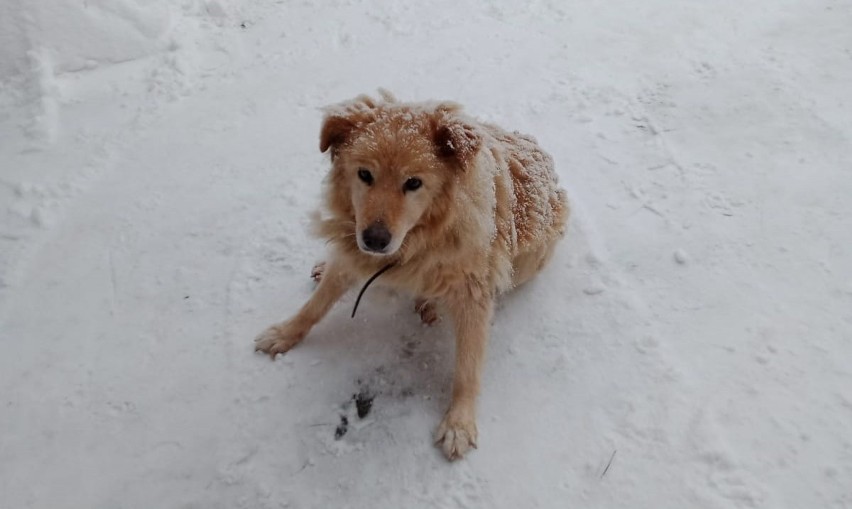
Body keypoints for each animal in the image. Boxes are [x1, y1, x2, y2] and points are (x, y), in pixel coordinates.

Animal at [256, 91, 568, 460]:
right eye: (364, 174)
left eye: (414, 183)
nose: (374, 240)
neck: (420, 238)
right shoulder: (353, 251)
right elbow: (315, 306)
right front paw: (285, 333)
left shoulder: (474, 291)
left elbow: (468, 366)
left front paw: (459, 423)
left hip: (529, 259)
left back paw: (431, 303)